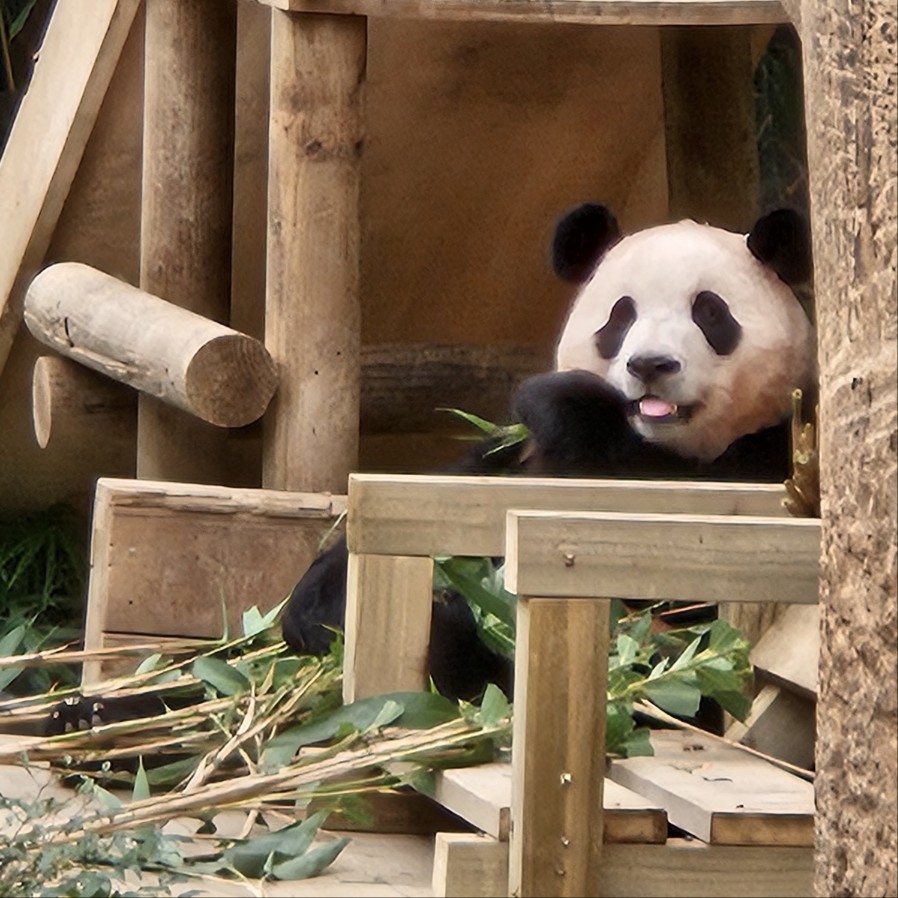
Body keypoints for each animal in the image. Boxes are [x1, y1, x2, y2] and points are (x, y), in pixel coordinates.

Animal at [280, 203, 812, 700]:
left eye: (710, 313)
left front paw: (564, 401)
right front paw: (318, 611)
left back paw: (453, 634)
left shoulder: (766, 461)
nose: (650, 364)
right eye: (622, 315)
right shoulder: (505, 457)